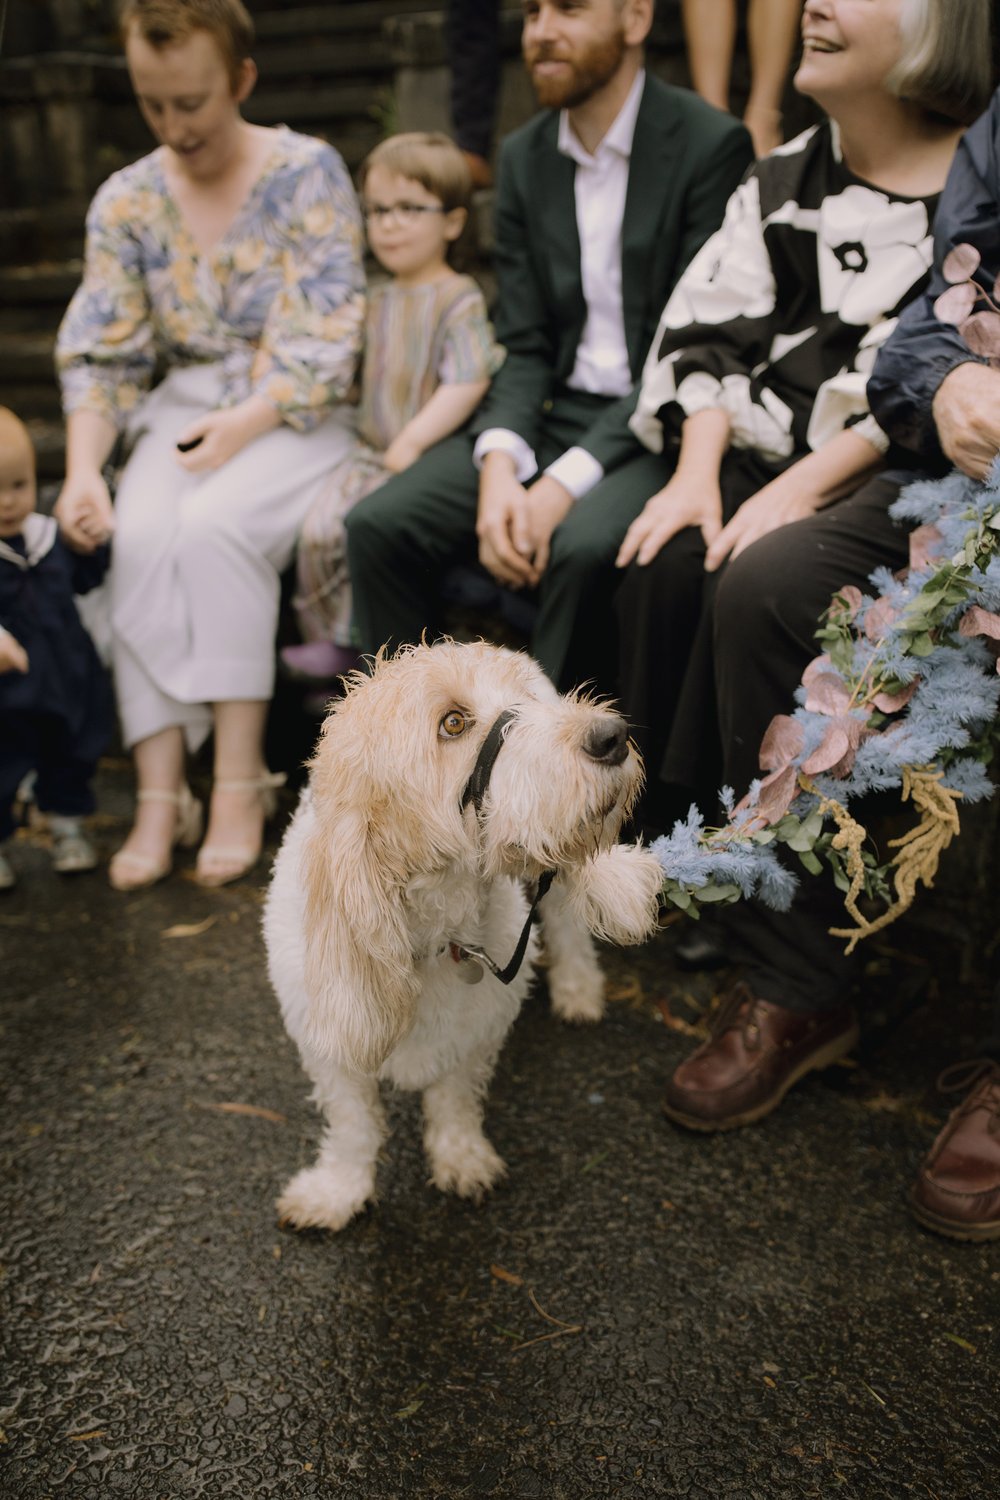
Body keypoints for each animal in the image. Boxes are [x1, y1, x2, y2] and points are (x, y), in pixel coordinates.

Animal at [263, 639, 665, 1224]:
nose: (611, 735)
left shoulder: (478, 1030)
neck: (433, 938)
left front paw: (460, 1158)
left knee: (568, 921)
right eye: (452, 723)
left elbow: (453, 1099)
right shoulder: (329, 1048)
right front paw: (339, 1191)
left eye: (523, 700)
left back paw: (578, 989)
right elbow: (354, 1124)